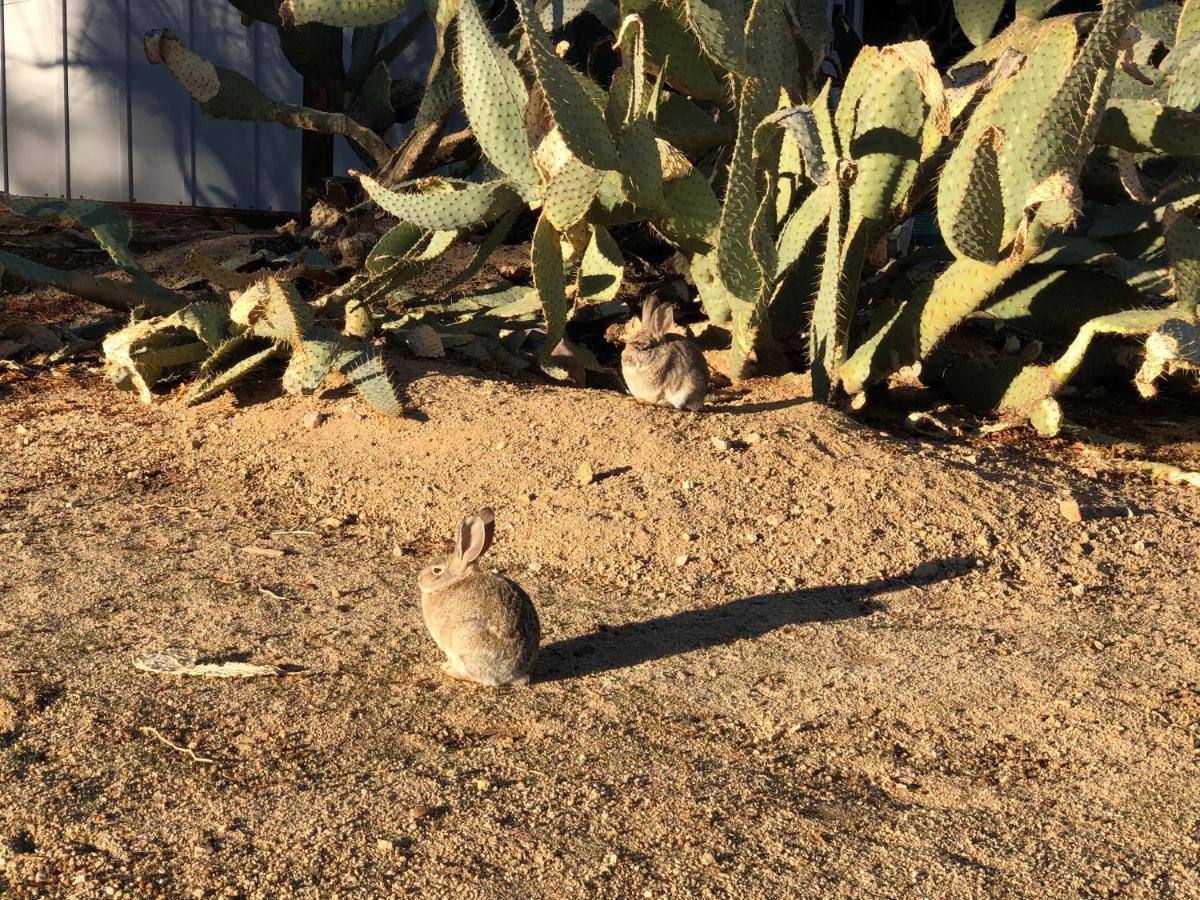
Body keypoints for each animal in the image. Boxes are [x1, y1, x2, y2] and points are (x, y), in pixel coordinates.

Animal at [417, 511, 540, 686]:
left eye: (437, 570)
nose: (419, 579)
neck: (453, 582)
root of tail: (517, 675)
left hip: (465, 643)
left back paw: (450, 671)